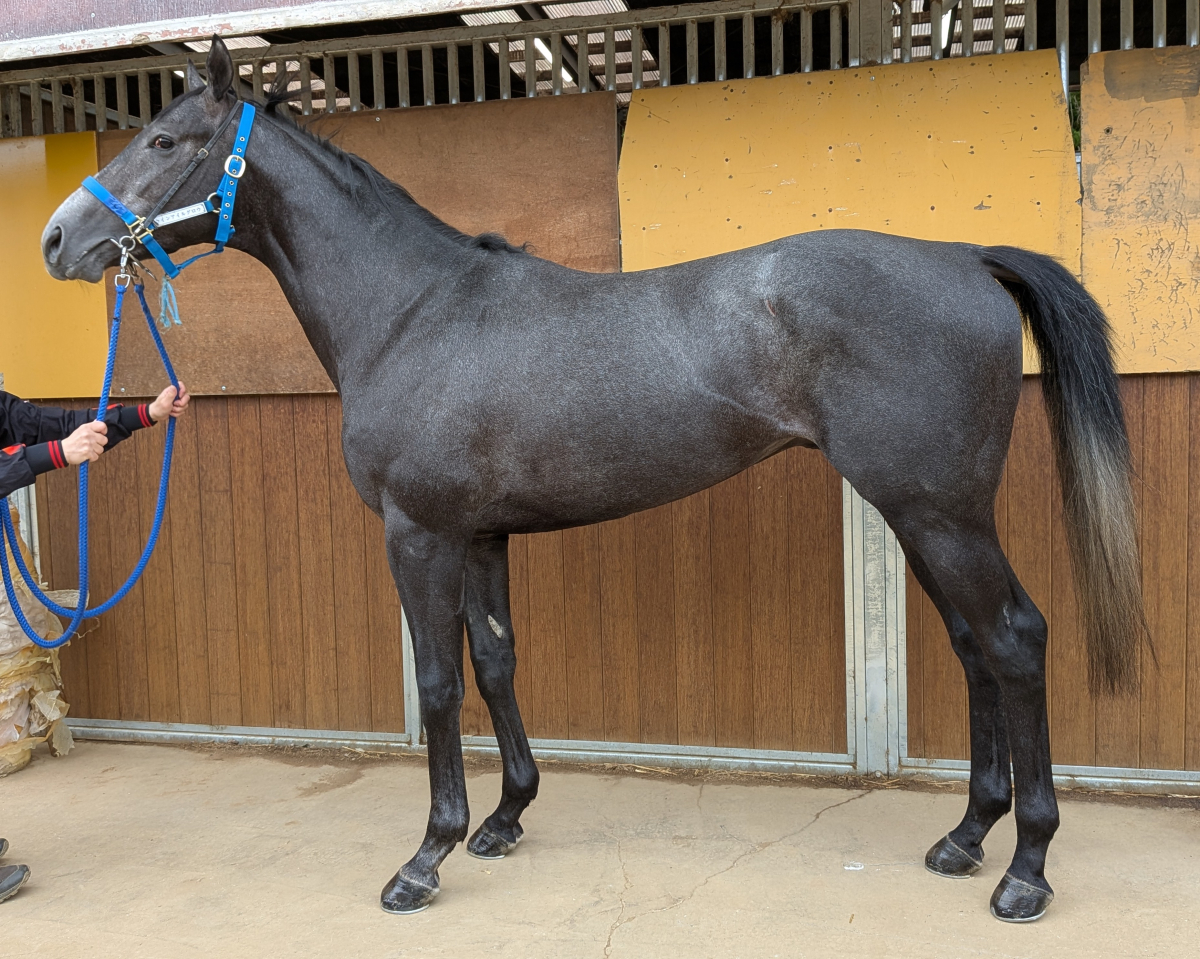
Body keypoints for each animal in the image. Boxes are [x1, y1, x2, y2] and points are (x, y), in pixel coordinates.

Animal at [41, 37, 1146, 923]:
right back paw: (966, 837)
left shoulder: (418, 531)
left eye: (168, 142)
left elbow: (439, 683)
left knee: (1015, 638)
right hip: (925, 516)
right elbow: (496, 661)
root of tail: (964, 255)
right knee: (973, 646)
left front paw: (426, 856)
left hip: (940, 512)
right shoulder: (482, 534)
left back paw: (1027, 870)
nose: (58, 240)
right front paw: (505, 817)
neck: (412, 313)